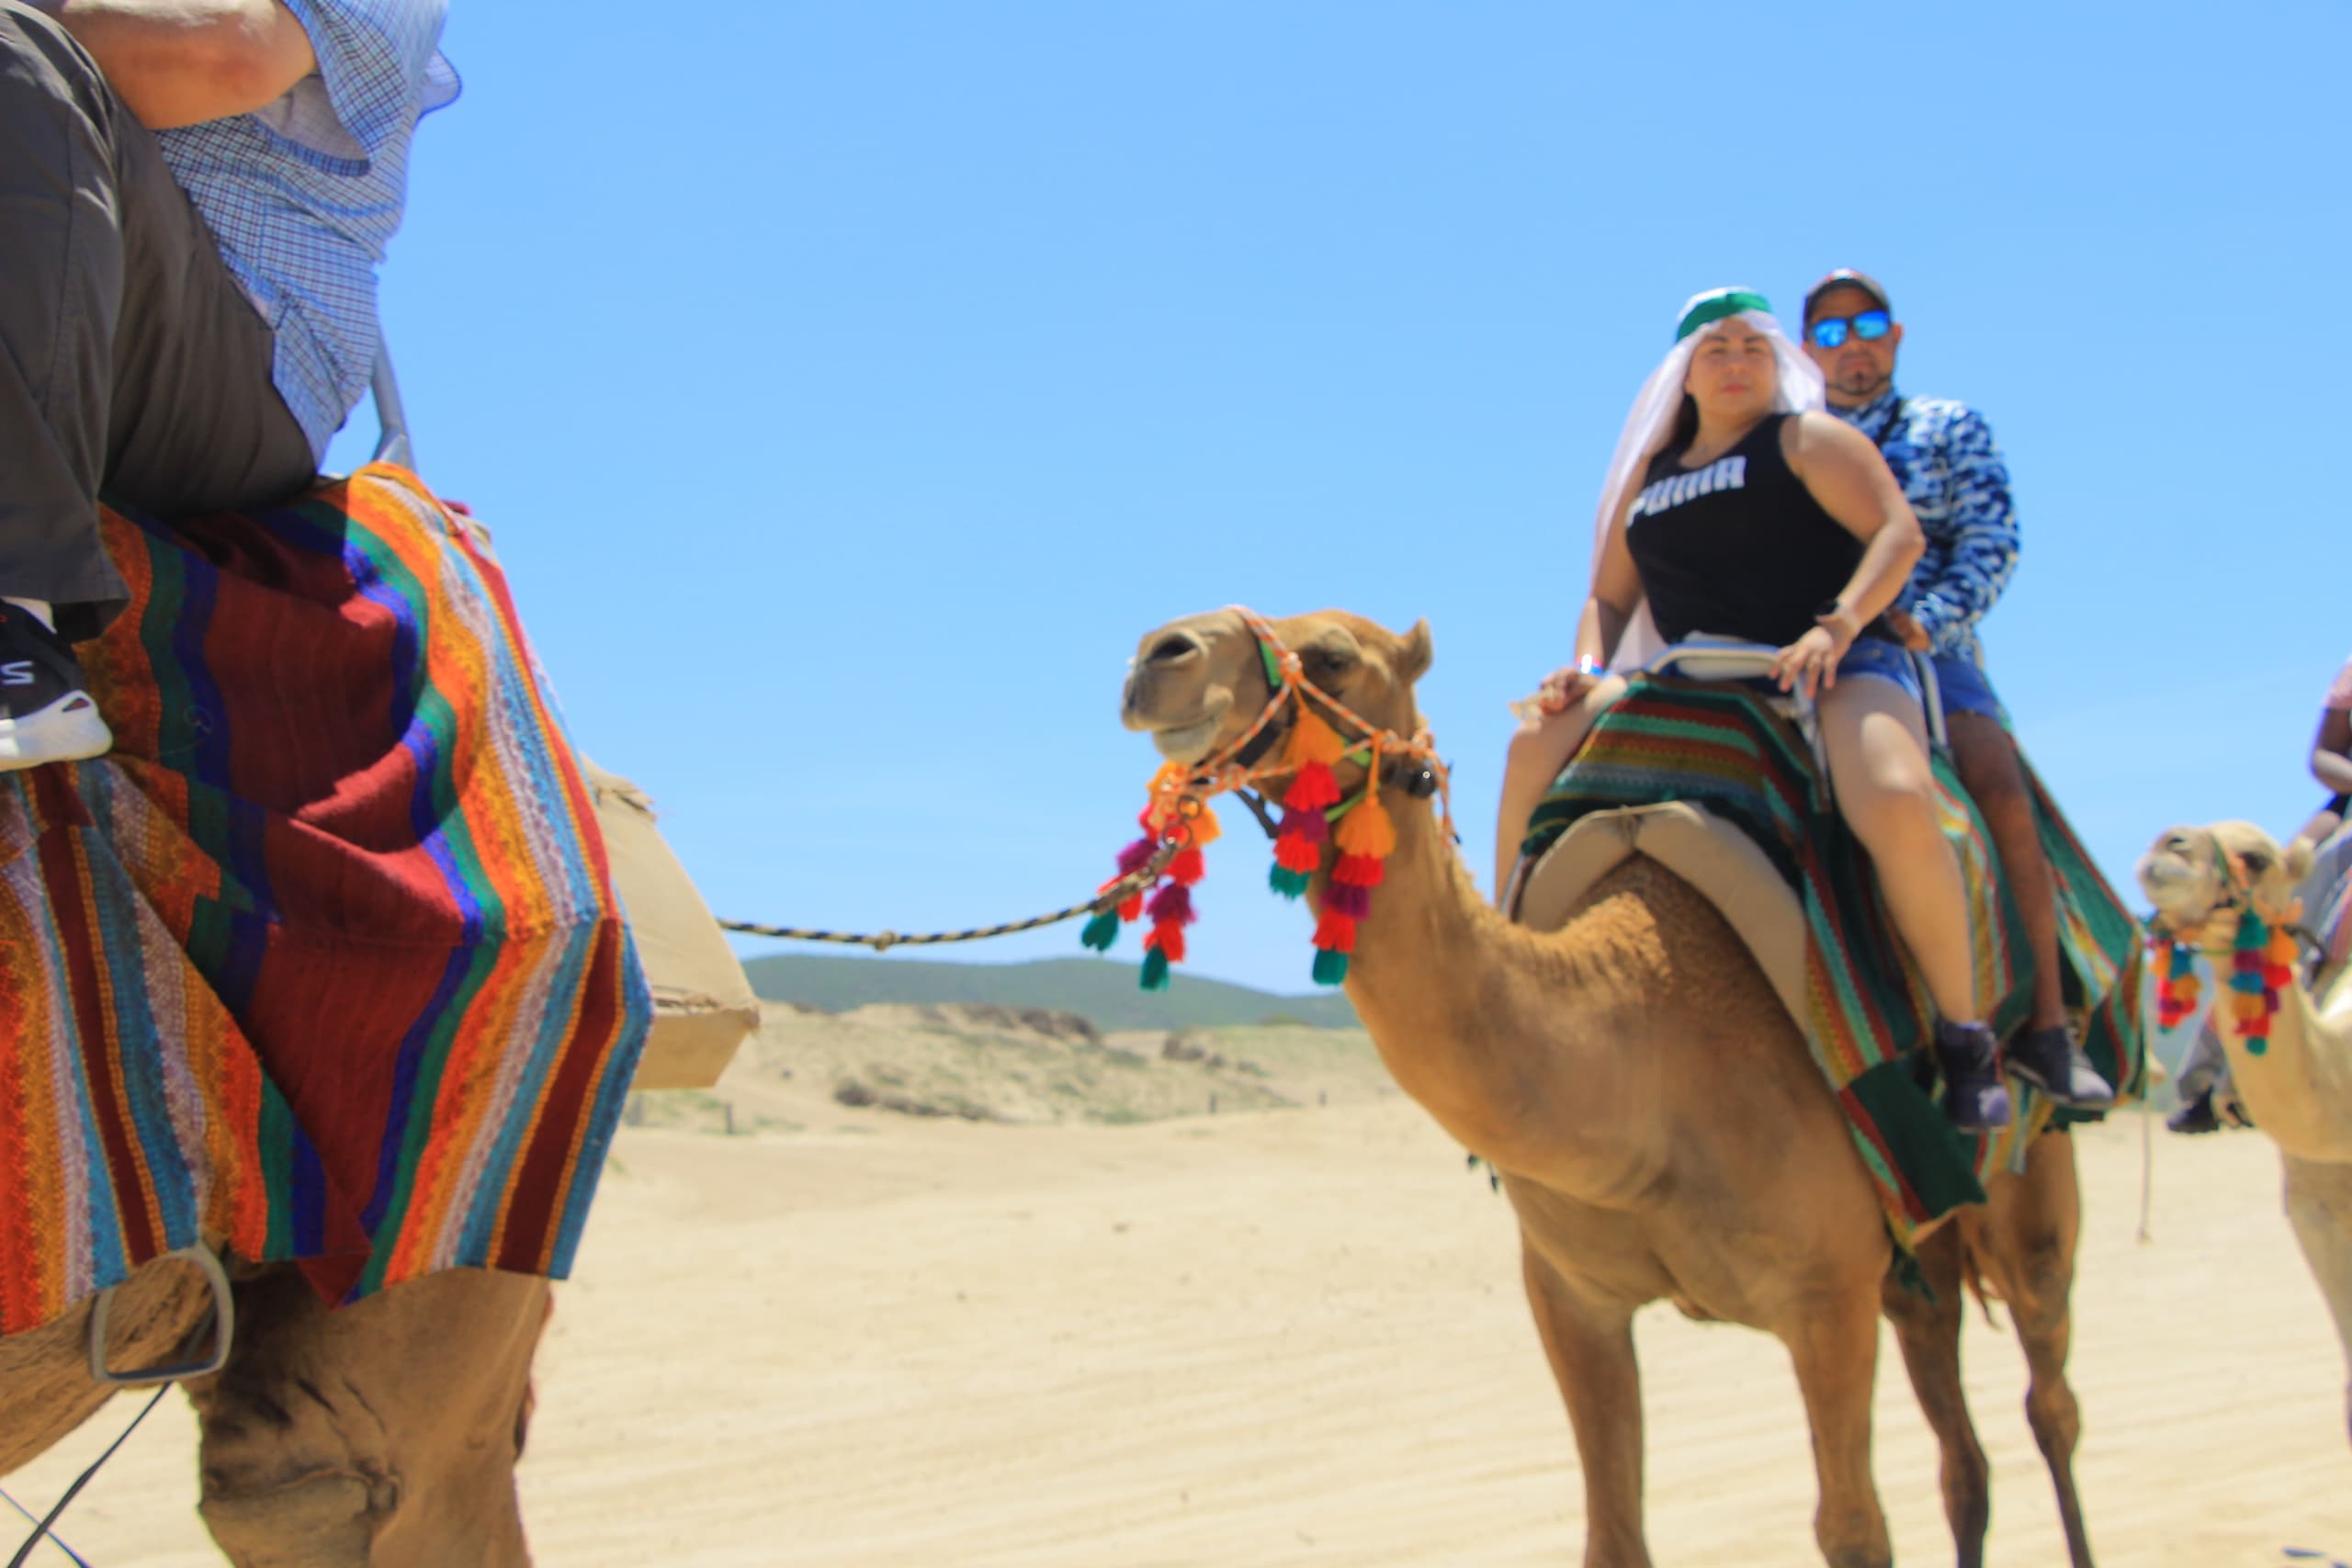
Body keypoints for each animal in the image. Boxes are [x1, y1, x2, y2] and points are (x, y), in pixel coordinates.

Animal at [1121, 607, 2106, 1568]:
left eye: (1330, 655)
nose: (1156, 655)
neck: (1648, 1056)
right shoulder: (1571, 1294)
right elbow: (1614, 1536)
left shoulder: (1824, 1298)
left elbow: (1854, 1529)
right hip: (1913, 1246)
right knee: (1960, 1445)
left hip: (2026, 1186)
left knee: (2050, 1398)